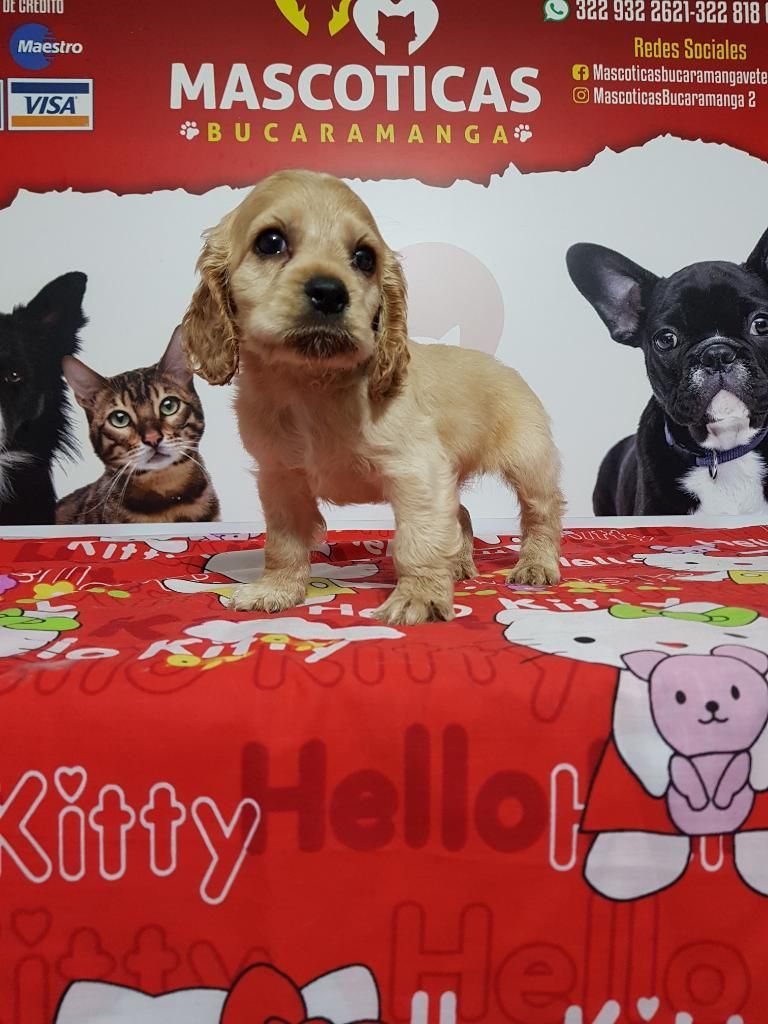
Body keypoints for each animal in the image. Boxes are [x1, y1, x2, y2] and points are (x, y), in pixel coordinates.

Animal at [183, 167, 561, 622]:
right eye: (270, 242)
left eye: (364, 258)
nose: (330, 292)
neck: (313, 383)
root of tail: (508, 369)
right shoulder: (281, 478)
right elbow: (284, 544)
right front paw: (276, 590)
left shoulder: (418, 471)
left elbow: (418, 541)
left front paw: (420, 597)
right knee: (462, 515)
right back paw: (459, 564)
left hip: (529, 464)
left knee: (541, 515)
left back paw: (536, 565)